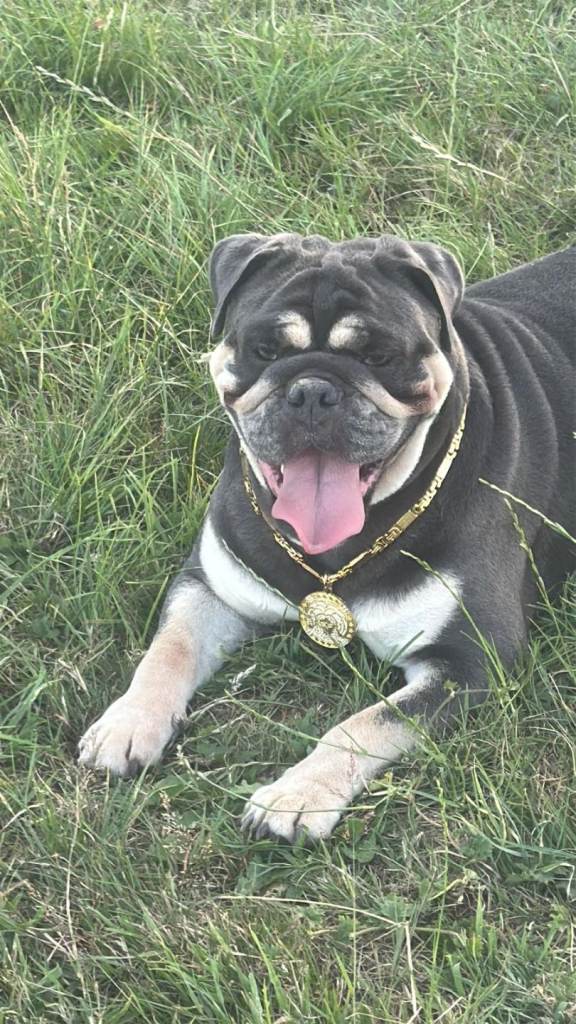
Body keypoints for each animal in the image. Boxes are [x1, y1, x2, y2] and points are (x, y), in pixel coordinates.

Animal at [79, 234, 575, 842]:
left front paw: (297, 796)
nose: (312, 391)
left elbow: (366, 723)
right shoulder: (209, 585)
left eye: (379, 357)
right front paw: (128, 723)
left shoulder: (469, 660)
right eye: (265, 350)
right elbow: (169, 648)